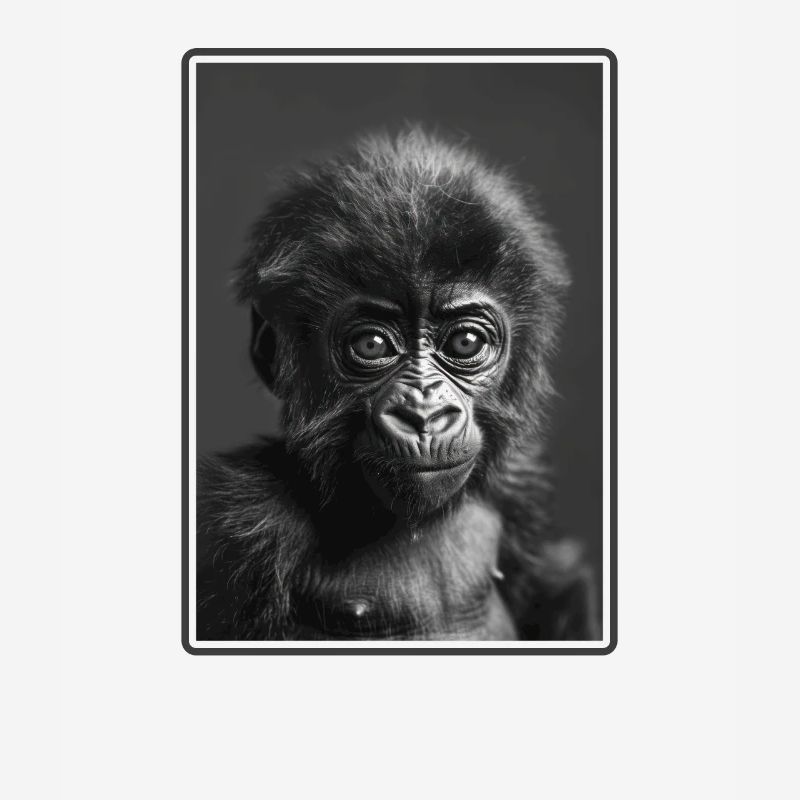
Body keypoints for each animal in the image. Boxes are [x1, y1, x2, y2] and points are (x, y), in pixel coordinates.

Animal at [197, 127, 600, 641]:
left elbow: (555, 591)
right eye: (371, 345)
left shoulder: (519, 485)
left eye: (466, 341)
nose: (424, 414)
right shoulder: (240, 525)